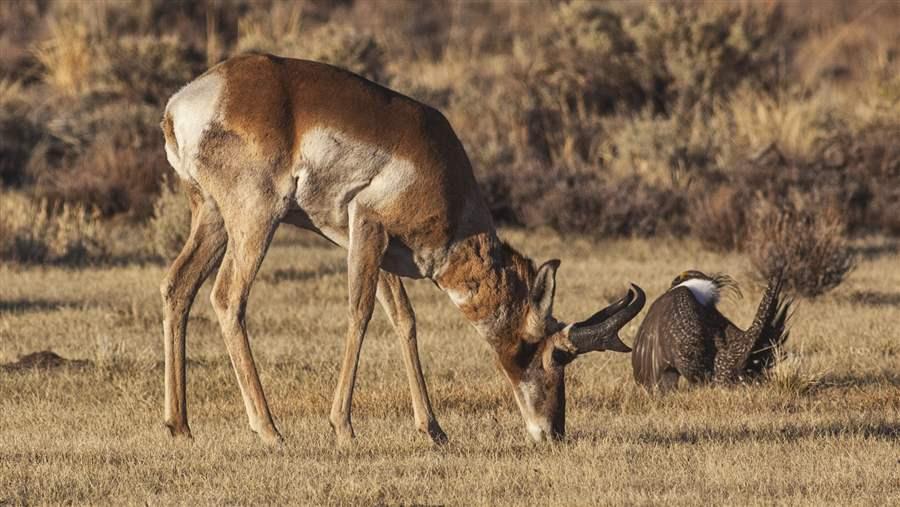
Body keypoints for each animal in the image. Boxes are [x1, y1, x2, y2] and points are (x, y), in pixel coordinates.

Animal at [162, 53, 648, 446]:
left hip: (212, 218)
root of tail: (189, 99)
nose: (554, 433)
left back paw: (180, 426)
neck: (445, 174)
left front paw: (433, 429)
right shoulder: (368, 227)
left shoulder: (382, 251)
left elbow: (404, 320)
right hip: (256, 219)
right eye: (558, 354)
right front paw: (343, 427)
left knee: (177, 286)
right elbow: (360, 314)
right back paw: (269, 429)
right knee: (228, 297)